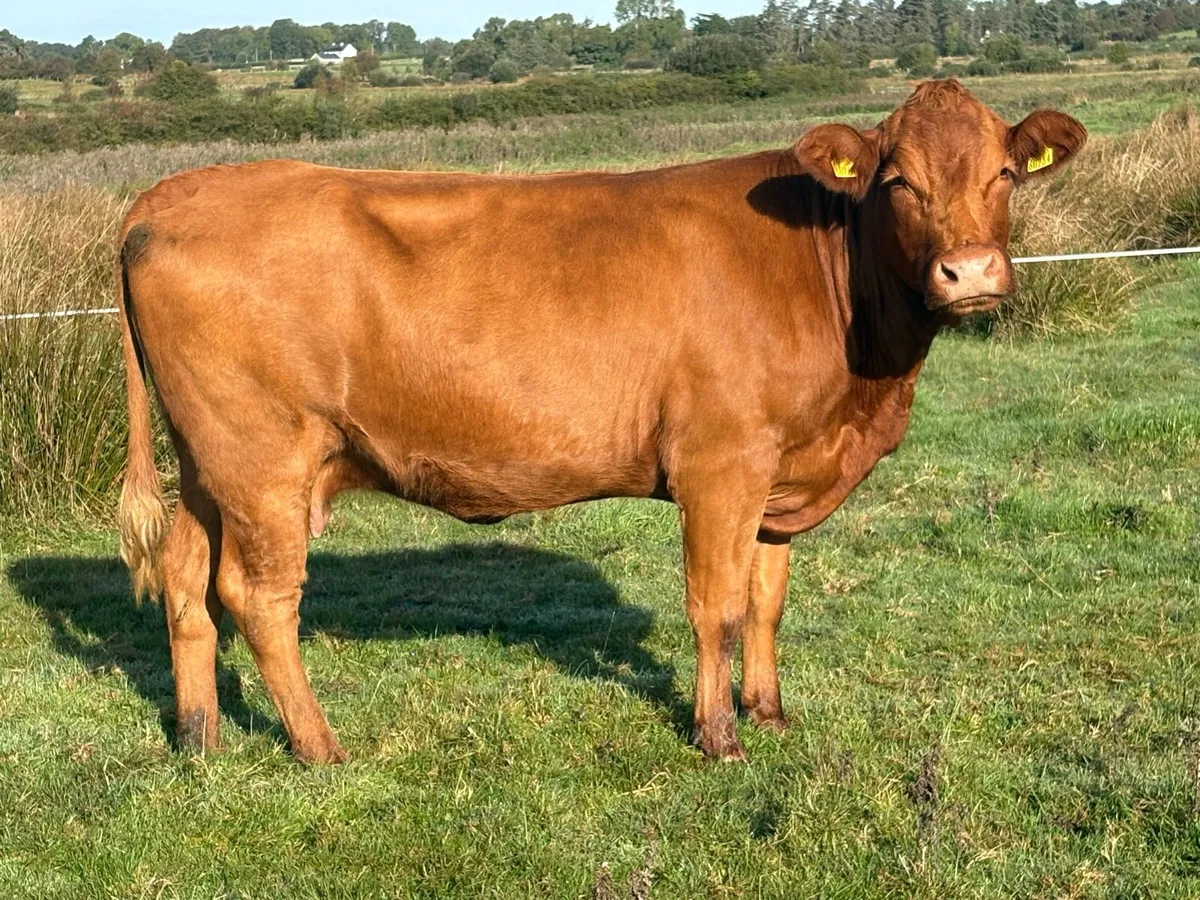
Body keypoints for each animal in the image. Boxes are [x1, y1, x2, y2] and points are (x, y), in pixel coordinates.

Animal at [115, 79, 1086, 763]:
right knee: (259, 597)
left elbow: (767, 602)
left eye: (1004, 174)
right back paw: (320, 748)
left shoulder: (781, 470)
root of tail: (172, 192)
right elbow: (716, 607)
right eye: (899, 182)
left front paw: (769, 714)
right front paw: (718, 736)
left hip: (207, 463)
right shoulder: (720, 464)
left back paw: (200, 737)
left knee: (186, 580)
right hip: (262, 460)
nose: (971, 272)